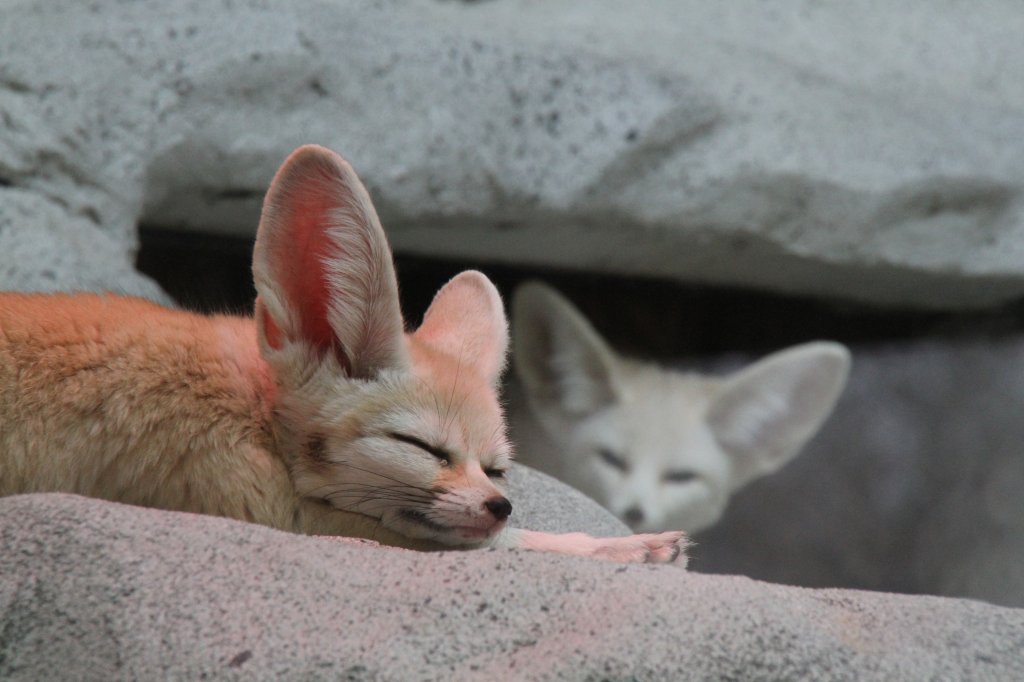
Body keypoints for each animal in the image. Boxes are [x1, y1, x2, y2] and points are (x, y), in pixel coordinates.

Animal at [0, 143, 692, 561]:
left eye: (497, 469)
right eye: (422, 447)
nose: (500, 505)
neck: (252, 409)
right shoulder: (264, 507)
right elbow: (511, 544)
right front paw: (627, 548)